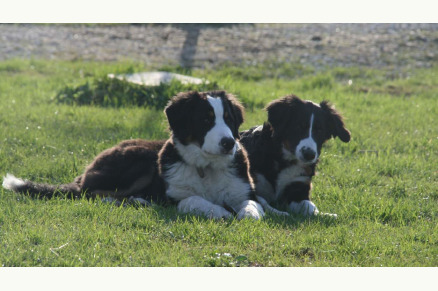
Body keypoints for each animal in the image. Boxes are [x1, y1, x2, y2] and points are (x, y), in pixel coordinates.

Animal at [3, 90, 266, 220]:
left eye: (229, 120)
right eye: (205, 120)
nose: (228, 143)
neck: (207, 167)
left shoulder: (243, 190)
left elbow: (252, 204)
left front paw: (249, 213)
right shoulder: (172, 198)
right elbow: (193, 199)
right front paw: (221, 212)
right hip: (137, 161)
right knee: (90, 193)